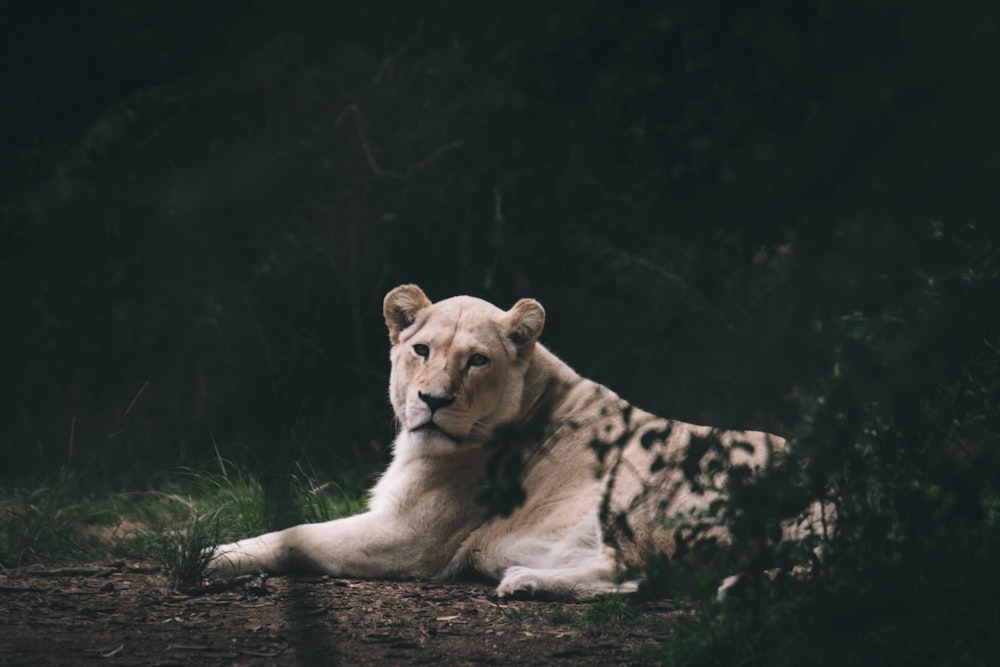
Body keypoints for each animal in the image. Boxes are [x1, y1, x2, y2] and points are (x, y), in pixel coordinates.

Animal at [207, 284, 792, 596]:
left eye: (477, 360)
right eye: (421, 349)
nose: (433, 400)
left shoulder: (409, 538)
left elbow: (298, 535)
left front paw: (213, 554)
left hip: (645, 480)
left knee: (636, 573)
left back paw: (522, 581)